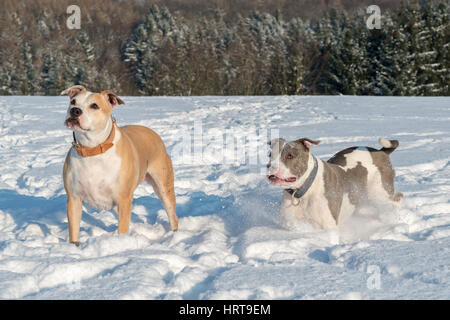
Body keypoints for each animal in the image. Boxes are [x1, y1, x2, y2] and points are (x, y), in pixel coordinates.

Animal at [61, 85, 178, 245]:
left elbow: (122, 229)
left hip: (163, 185)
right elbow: (74, 232)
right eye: (73, 101)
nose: (75, 111)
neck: (92, 150)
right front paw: (73, 247)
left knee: (172, 213)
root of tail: (152, 132)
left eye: (94, 106)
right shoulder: (73, 199)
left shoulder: (123, 199)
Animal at [268, 136, 404, 229]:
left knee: (396, 199)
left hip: (379, 192)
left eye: (290, 155)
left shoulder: (327, 225)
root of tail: (381, 151)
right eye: (270, 155)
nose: (270, 166)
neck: (304, 190)